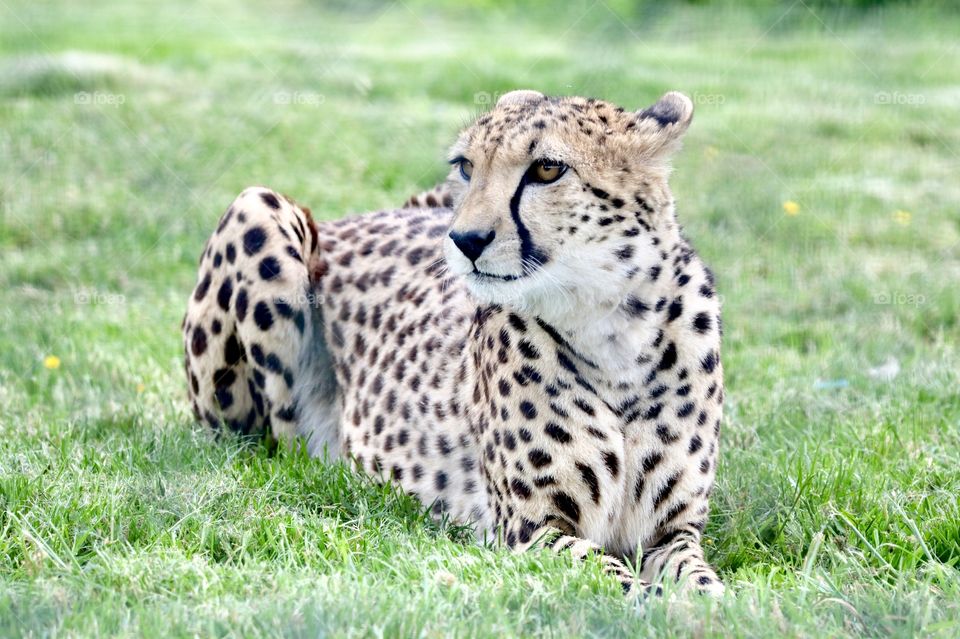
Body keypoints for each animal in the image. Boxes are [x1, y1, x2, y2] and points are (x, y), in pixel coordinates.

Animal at [182, 89, 725, 598]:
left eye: (547, 168)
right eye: (467, 166)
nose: (465, 239)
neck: (612, 330)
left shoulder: (671, 532)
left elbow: (699, 580)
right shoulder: (531, 529)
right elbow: (620, 580)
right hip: (258, 208)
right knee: (279, 444)